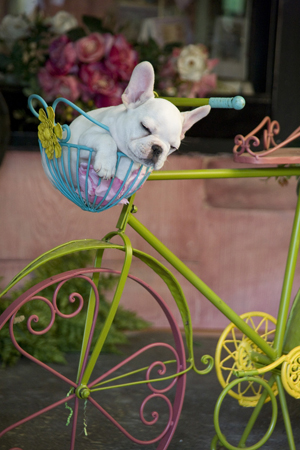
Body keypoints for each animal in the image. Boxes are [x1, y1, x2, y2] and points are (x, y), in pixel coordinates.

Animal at [65, 60, 211, 181]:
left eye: (173, 147)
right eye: (145, 127)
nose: (158, 149)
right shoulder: (86, 139)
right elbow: (107, 139)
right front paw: (107, 165)